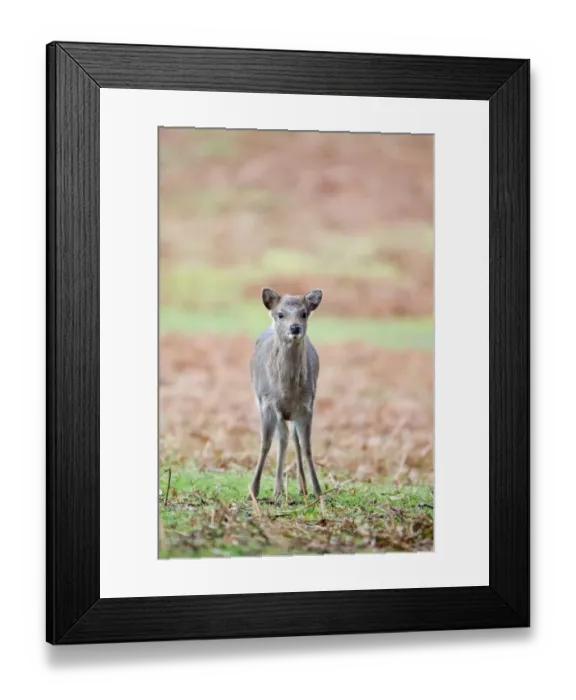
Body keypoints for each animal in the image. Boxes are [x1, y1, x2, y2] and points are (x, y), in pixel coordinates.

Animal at [249, 287, 324, 502]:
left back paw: (301, 487)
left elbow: (307, 446)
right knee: (282, 438)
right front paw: (254, 489)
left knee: (292, 438)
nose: (295, 328)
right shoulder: (267, 403)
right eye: (280, 314)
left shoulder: (307, 405)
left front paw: (318, 490)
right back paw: (279, 489)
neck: (287, 391)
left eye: (304, 313)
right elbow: (266, 443)